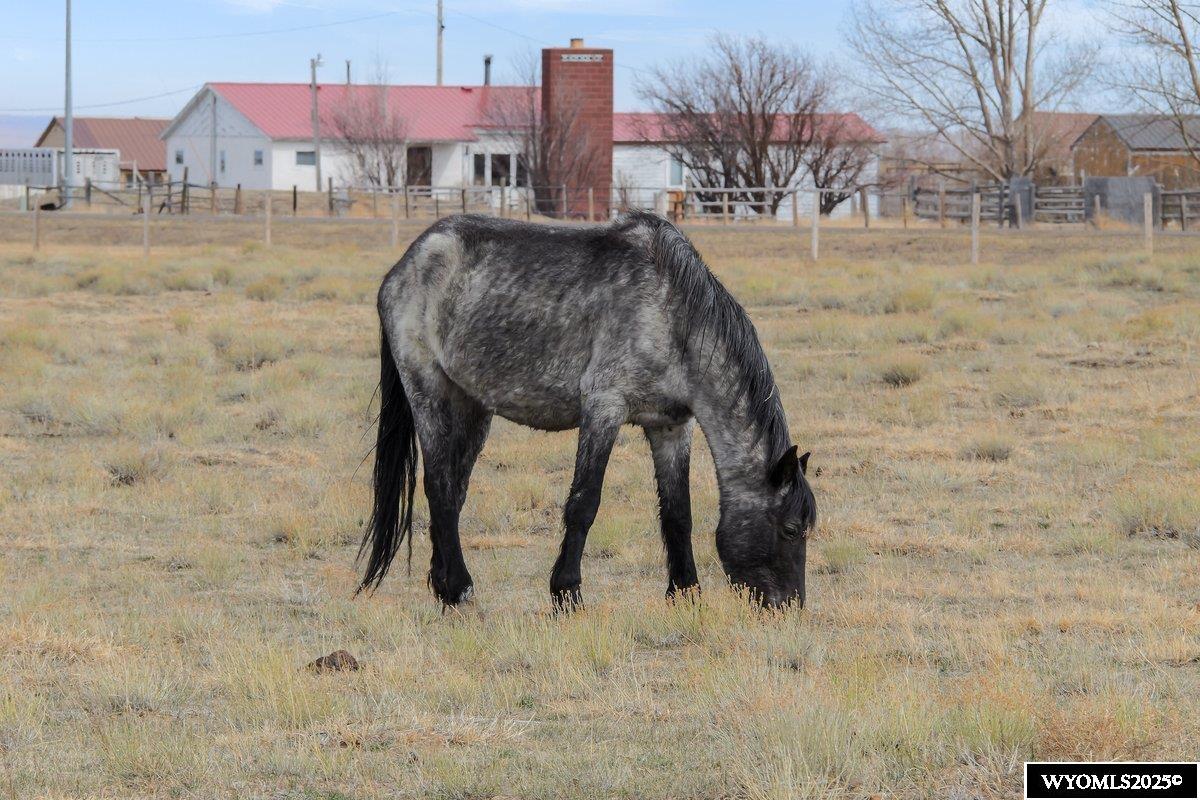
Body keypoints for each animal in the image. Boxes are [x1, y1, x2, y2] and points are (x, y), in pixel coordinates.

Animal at [358, 211, 815, 610]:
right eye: (792, 529)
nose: (788, 606)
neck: (672, 314)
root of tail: (406, 264)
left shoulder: (672, 427)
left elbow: (678, 513)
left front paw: (685, 592)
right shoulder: (603, 408)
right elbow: (584, 503)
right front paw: (566, 592)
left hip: (471, 407)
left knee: (453, 491)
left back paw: (442, 584)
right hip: (429, 393)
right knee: (438, 487)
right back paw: (458, 588)